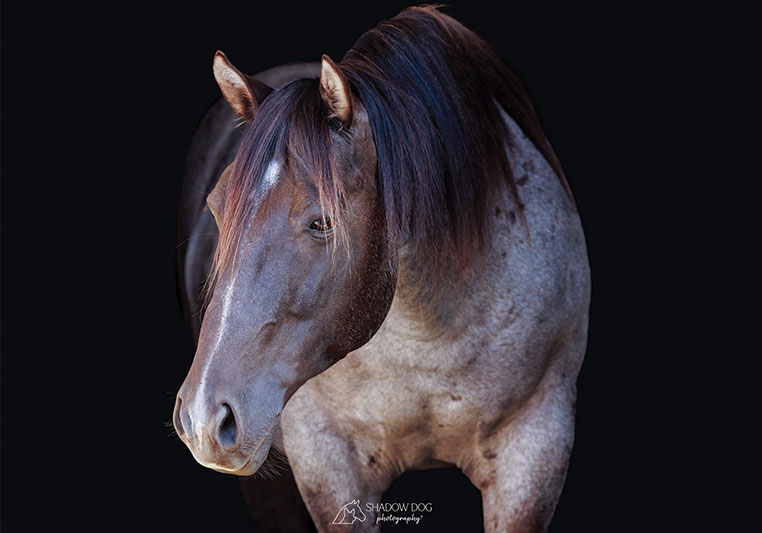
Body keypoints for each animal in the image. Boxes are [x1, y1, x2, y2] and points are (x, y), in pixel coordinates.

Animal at [173, 6, 590, 532]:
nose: (203, 417)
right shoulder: (328, 464)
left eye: (323, 222)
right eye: (216, 208)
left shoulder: (535, 452)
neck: (429, 337)